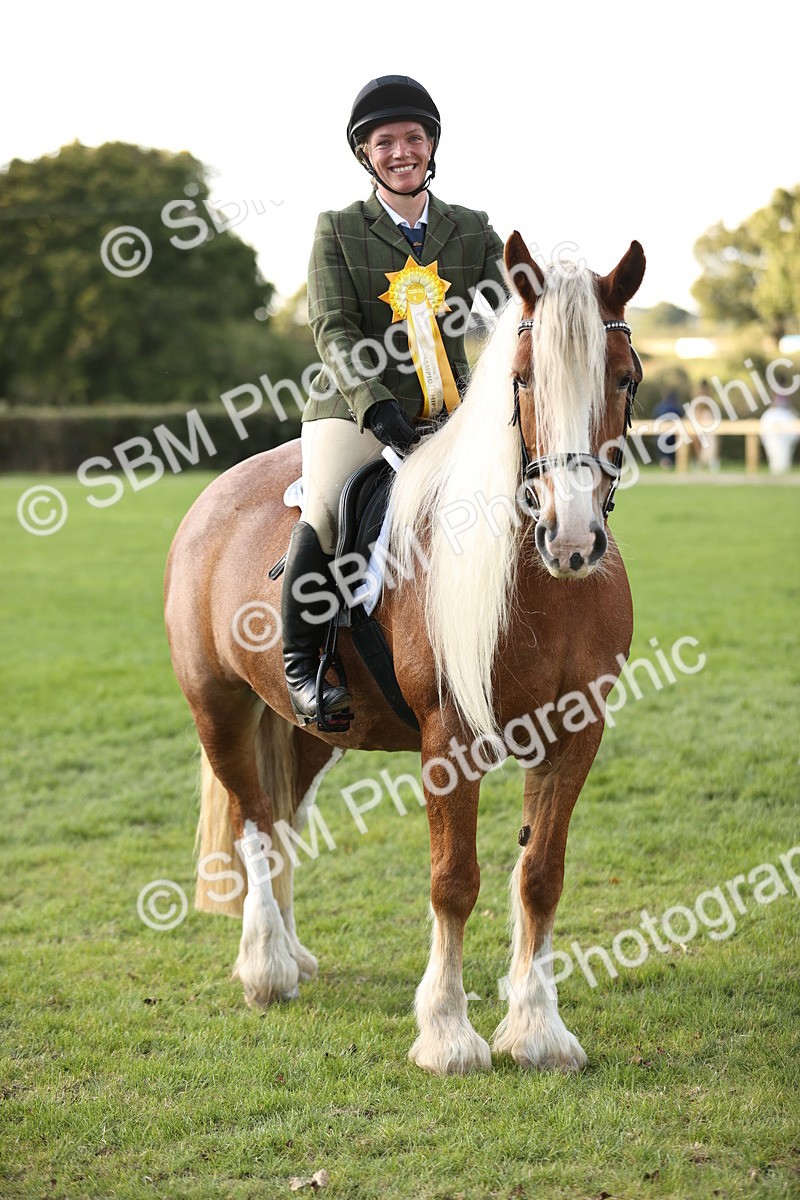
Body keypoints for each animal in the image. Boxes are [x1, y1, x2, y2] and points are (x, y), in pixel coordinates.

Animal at [163, 231, 645, 1076]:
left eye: (623, 379)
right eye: (522, 380)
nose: (573, 540)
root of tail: (215, 495)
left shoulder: (576, 732)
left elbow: (542, 876)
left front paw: (538, 1031)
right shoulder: (449, 738)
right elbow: (454, 880)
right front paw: (449, 1035)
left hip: (309, 728)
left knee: (283, 819)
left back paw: (293, 954)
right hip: (218, 707)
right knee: (255, 823)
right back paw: (267, 968)